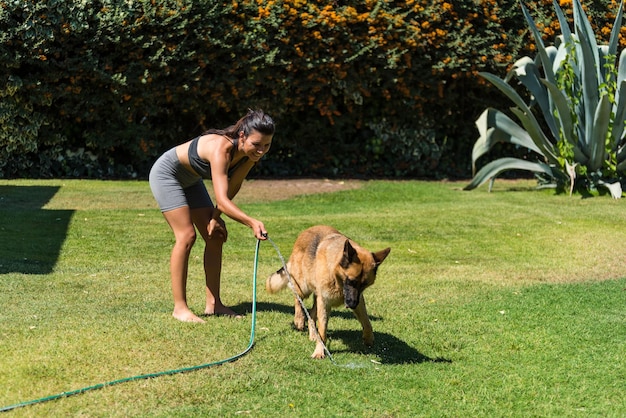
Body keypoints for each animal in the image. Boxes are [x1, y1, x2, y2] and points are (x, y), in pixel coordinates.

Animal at [264, 225, 390, 360]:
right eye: (351, 281)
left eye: (364, 285)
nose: (351, 305)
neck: (337, 279)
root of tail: (306, 231)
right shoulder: (325, 302)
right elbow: (323, 331)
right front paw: (319, 351)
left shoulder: (358, 299)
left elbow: (367, 321)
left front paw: (368, 338)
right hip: (304, 287)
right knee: (297, 298)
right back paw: (299, 320)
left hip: (317, 296)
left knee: (311, 315)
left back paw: (313, 334)